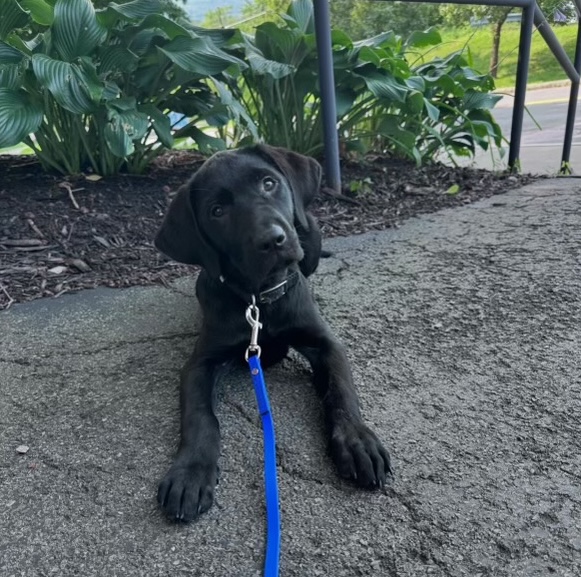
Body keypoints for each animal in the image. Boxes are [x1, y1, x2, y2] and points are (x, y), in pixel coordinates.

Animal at [154, 145, 390, 520]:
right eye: (217, 211)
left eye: (268, 183)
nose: (273, 240)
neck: (260, 299)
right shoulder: (200, 363)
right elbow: (200, 417)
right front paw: (190, 472)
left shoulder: (326, 344)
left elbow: (341, 391)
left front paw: (357, 441)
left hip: (311, 234)